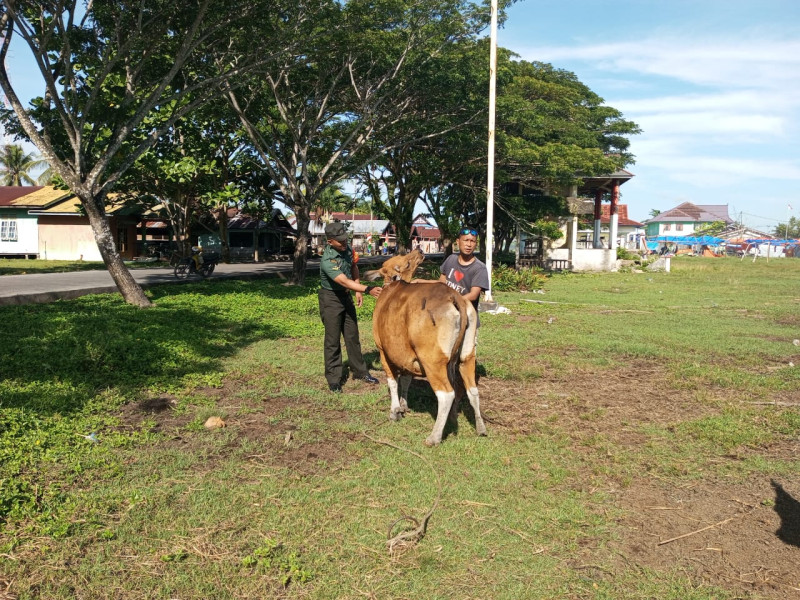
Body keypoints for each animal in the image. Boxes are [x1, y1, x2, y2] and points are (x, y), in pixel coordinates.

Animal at [364, 248, 488, 446]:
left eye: (406, 262)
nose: (419, 249)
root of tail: (455, 297)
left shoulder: (383, 351)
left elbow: (392, 382)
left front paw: (395, 411)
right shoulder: (406, 355)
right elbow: (406, 380)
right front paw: (404, 405)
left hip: (432, 360)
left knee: (446, 394)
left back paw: (434, 437)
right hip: (467, 356)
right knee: (472, 390)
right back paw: (479, 427)